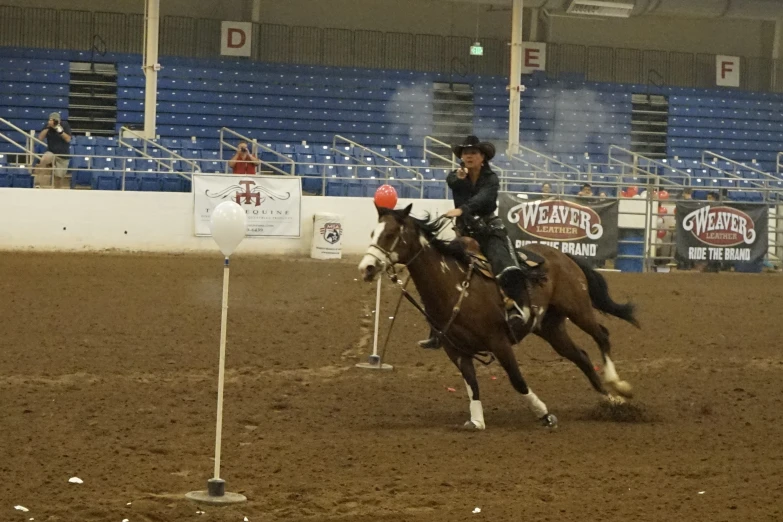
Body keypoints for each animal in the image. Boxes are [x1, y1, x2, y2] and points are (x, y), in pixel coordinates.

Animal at [358, 205, 640, 428]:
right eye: (372, 234)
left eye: (391, 234)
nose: (367, 268)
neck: (455, 285)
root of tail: (562, 255)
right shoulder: (456, 351)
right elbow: (472, 386)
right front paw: (476, 421)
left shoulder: (499, 342)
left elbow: (517, 380)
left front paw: (544, 414)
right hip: (550, 327)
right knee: (580, 356)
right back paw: (612, 401)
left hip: (578, 309)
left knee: (602, 335)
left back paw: (618, 386)